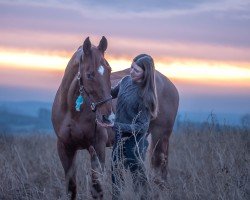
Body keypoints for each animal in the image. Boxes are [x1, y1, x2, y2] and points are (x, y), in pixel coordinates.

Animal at [51, 36, 114, 199]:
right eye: (89, 74)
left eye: (109, 70)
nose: (109, 118)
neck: (72, 112)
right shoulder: (65, 147)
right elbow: (71, 188)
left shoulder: (98, 147)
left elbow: (97, 189)